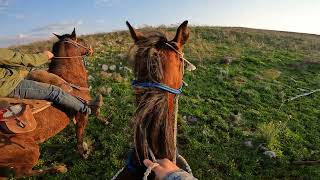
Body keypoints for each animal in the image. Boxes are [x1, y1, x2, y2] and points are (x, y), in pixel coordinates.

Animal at [0, 28, 94, 178]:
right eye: (81, 40)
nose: (91, 49)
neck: (69, 80)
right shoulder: (81, 116)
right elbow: (79, 137)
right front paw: (84, 154)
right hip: (31, 150)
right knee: (23, 173)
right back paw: (59, 168)